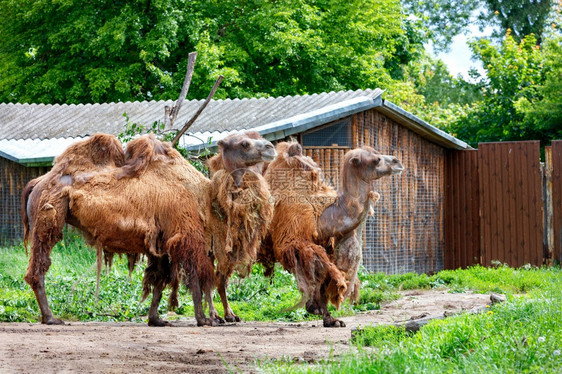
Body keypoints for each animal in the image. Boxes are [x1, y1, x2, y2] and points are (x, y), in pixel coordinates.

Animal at [22, 133, 276, 326]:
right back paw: (51, 318)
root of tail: (37, 183)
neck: (205, 198)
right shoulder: (187, 235)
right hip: (49, 215)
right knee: (39, 266)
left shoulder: (163, 242)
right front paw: (206, 319)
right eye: (244, 144)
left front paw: (156, 319)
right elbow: (197, 278)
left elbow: (159, 280)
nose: (271, 147)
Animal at [262, 142, 402, 326]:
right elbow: (319, 272)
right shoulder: (295, 240)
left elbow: (325, 276)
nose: (398, 162)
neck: (321, 213)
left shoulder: (324, 243)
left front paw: (330, 319)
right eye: (376, 159)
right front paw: (315, 309)